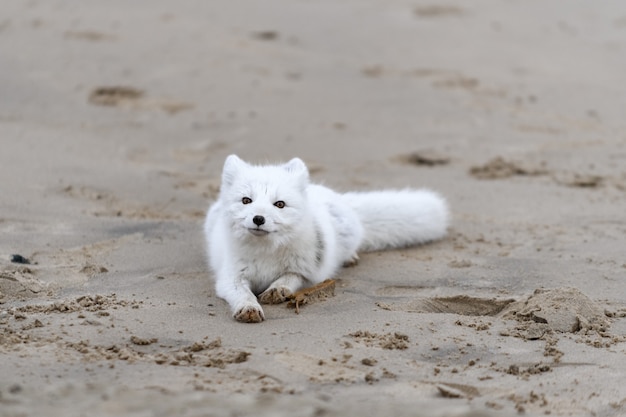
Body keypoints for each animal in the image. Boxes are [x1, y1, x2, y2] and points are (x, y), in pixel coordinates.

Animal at [202, 155, 446, 322]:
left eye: (279, 204)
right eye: (246, 200)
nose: (258, 218)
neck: (266, 252)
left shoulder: (310, 271)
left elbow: (291, 277)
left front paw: (277, 289)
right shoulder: (230, 277)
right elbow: (243, 293)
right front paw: (249, 308)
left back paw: (349, 257)